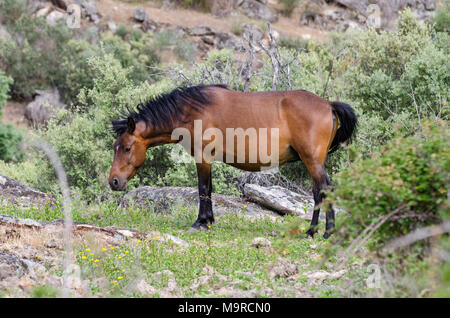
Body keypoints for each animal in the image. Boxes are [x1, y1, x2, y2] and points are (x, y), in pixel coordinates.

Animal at [109, 83, 356, 237]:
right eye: (115, 147)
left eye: (127, 148)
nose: (114, 182)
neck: (191, 111)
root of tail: (328, 104)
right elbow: (208, 189)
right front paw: (209, 221)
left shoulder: (202, 157)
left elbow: (203, 188)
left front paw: (201, 222)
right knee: (320, 191)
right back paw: (315, 231)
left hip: (312, 161)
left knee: (323, 190)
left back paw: (323, 232)